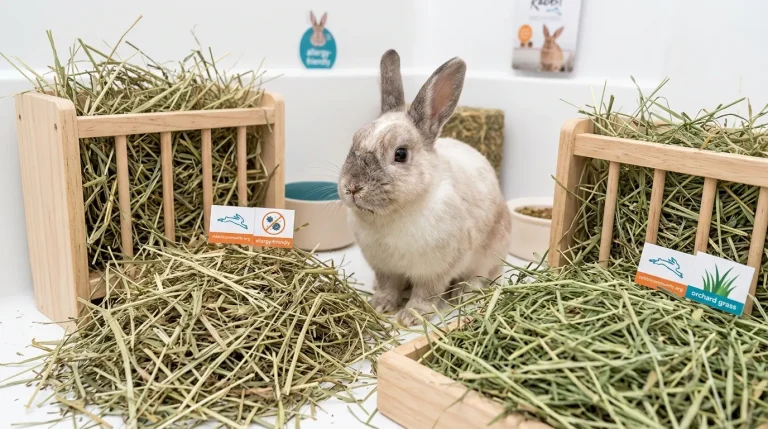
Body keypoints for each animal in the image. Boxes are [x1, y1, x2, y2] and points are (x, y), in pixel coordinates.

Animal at [338, 50, 512, 326]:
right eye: (354, 141)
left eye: (400, 154)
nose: (352, 187)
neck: (394, 215)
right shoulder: (385, 267)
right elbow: (388, 286)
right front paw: (380, 305)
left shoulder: (436, 270)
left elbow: (425, 294)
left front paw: (410, 317)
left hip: (490, 255)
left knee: (481, 277)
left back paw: (463, 294)